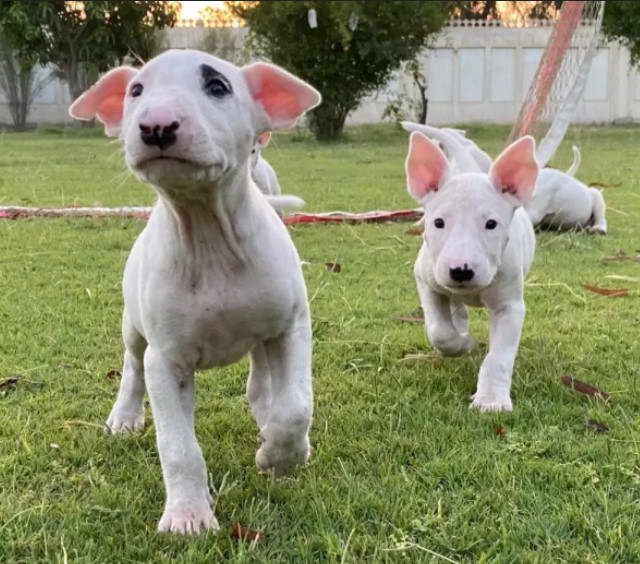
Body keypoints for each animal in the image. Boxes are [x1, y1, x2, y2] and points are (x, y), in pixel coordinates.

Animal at [69, 47, 320, 532]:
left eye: (218, 86)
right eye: (135, 91)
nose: (156, 126)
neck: (208, 234)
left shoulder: (291, 327)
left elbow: (295, 406)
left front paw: (280, 455)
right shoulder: (166, 361)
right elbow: (179, 446)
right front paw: (188, 516)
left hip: (263, 338)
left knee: (263, 386)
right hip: (133, 328)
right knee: (131, 367)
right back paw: (124, 417)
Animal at [404, 126, 540, 410]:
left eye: (491, 224)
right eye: (438, 222)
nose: (461, 271)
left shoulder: (509, 306)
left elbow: (499, 357)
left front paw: (491, 400)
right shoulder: (426, 279)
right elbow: (439, 330)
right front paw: (462, 343)